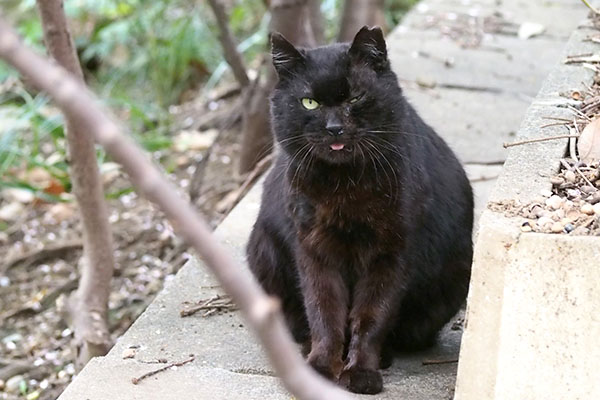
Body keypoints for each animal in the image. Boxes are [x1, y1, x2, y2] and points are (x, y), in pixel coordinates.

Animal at [246, 27, 472, 394]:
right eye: (309, 102)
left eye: (355, 98)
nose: (334, 127)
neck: (344, 187)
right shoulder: (314, 250)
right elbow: (324, 311)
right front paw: (321, 367)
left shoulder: (391, 254)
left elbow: (372, 316)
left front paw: (361, 372)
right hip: (262, 250)